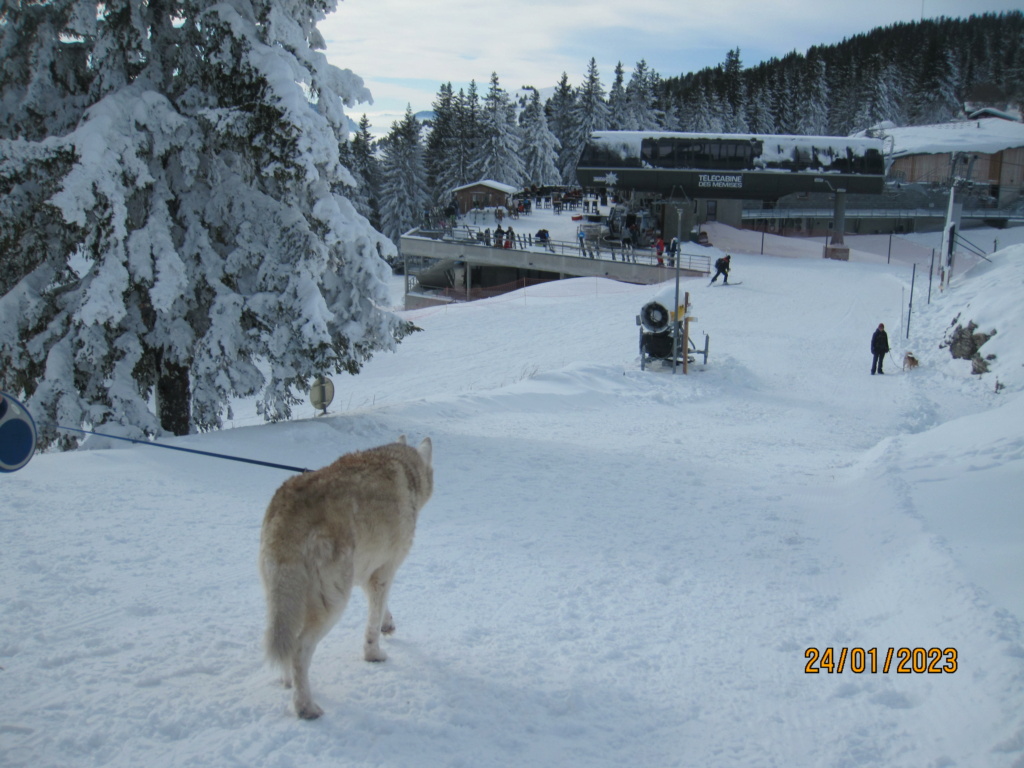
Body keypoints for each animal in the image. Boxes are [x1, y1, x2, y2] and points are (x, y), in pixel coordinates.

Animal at [260, 438, 432, 720]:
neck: (405, 468)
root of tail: (289, 507)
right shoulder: (384, 571)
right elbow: (372, 623)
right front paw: (374, 654)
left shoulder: (367, 572)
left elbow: (382, 610)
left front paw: (388, 624)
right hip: (333, 602)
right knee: (299, 649)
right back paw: (305, 707)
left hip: (283, 601)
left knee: (286, 643)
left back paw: (288, 683)